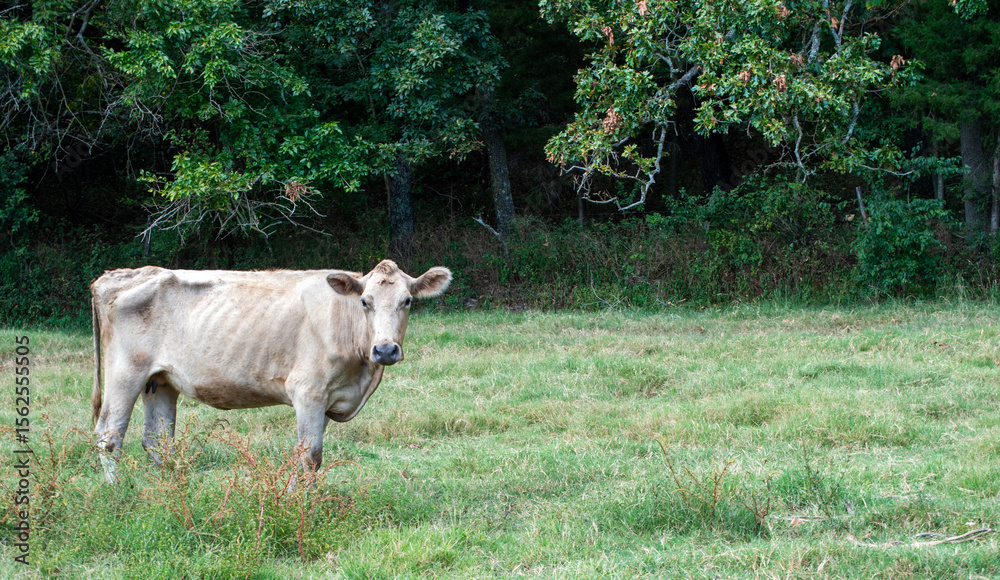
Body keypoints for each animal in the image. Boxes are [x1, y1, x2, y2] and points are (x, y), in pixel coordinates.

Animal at [91, 260, 451, 483]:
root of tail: (114, 276)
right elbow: (310, 455)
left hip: (160, 380)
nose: (385, 349)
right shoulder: (308, 391)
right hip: (125, 372)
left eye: (407, 301)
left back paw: (171, 493)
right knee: (109, 436)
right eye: (365, 301)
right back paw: (118, 494)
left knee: (157, 441)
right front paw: (299, 505)